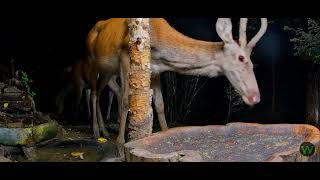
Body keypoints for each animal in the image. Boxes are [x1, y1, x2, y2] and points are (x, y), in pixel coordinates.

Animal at [85, 17, 268, 143]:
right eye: (241, 58)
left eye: (252, 60)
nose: (255, 97)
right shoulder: (124, 56)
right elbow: (125, 101)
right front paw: (120, 145)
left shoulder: (155, 70)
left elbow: (160, 104)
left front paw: (165, 133)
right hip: (92, 61)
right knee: (93, 92)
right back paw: (96, 132)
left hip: (108, 72)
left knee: (103, 91)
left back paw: (104, 131)